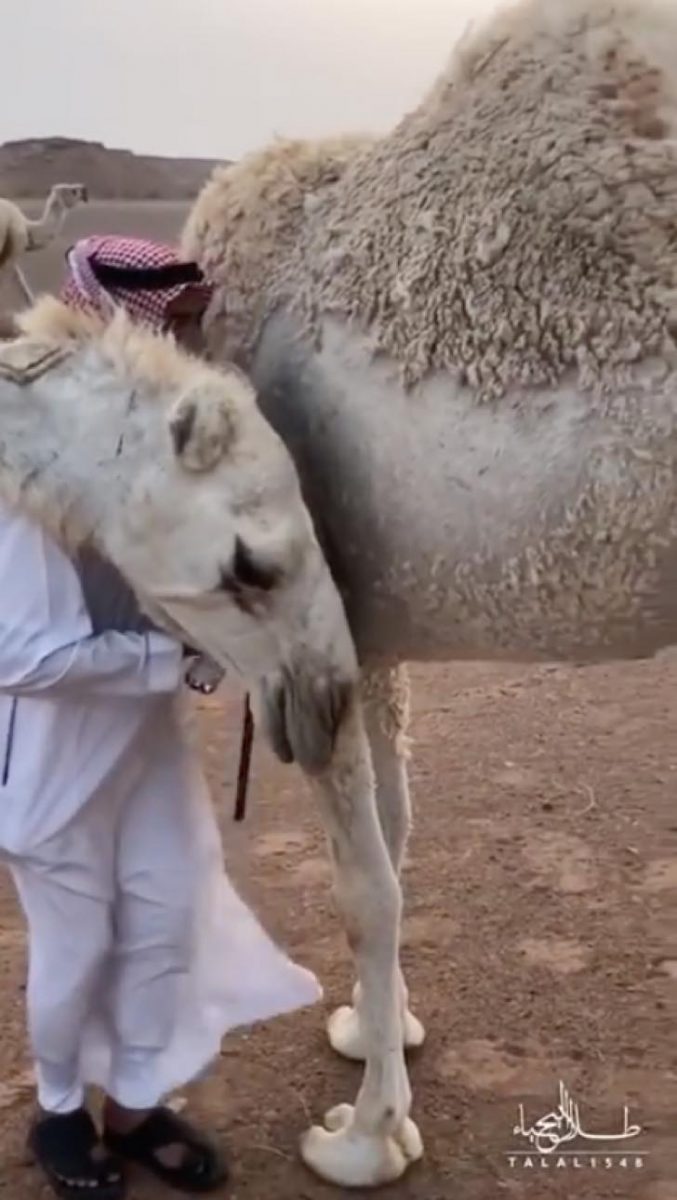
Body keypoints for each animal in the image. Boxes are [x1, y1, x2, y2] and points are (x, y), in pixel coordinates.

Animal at [182, 0, 677, 1185]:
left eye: (246, 559)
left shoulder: (310, 637)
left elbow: (364, 887)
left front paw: (365, 1137)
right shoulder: (365, 631)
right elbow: (397, 841)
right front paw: (380, 1032)